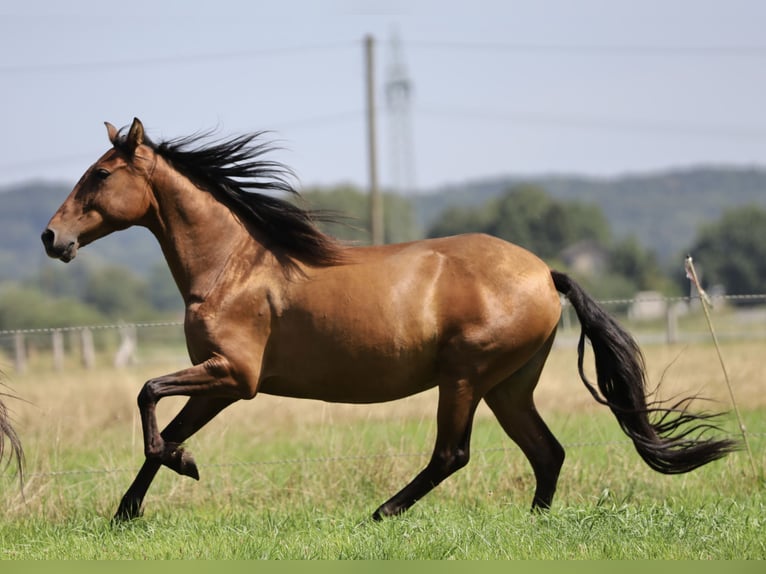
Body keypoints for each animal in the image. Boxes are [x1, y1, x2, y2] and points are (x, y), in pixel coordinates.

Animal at [42, 118, 737, 521]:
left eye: (100, 173)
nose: (52, 238)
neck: (232, 266)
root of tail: (545, 274)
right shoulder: (219, 383)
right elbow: (164, 429)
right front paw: (127, 512)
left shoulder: (234, 376)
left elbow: (147, 396)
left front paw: (177, 472)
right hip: (509, 385)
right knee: (547, 451)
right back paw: (534, 524)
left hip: (464, 378)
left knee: (452, 454)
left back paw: (380, 515)